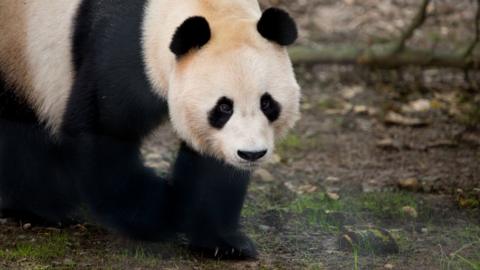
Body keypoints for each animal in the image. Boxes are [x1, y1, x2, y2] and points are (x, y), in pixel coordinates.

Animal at [0, 0, 300, 258]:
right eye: (223, 107)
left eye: (267, 103)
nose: (251, 154)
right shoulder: (123, 49)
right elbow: (102, 137)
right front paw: (167, 211)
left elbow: (213, 166)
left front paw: (224, 242)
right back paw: (43, 206)